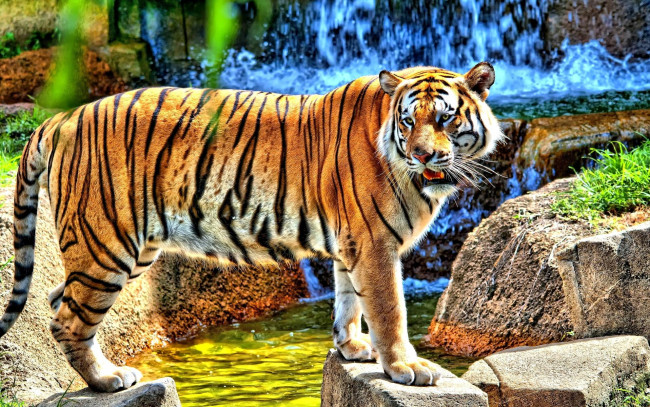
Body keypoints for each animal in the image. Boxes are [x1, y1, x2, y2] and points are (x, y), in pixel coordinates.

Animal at [0, 62, 502, 391]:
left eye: (445, 119)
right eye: (408, 120)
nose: (422, 154)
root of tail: (62, 117)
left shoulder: (352, 242)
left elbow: (347, 299)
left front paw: (352, 347)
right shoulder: (374, 243)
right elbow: (389, 309)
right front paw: (405, 367)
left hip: (123, 249)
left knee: (57, 298)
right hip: (107, 245)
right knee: (68, 320)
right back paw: (108, 379)